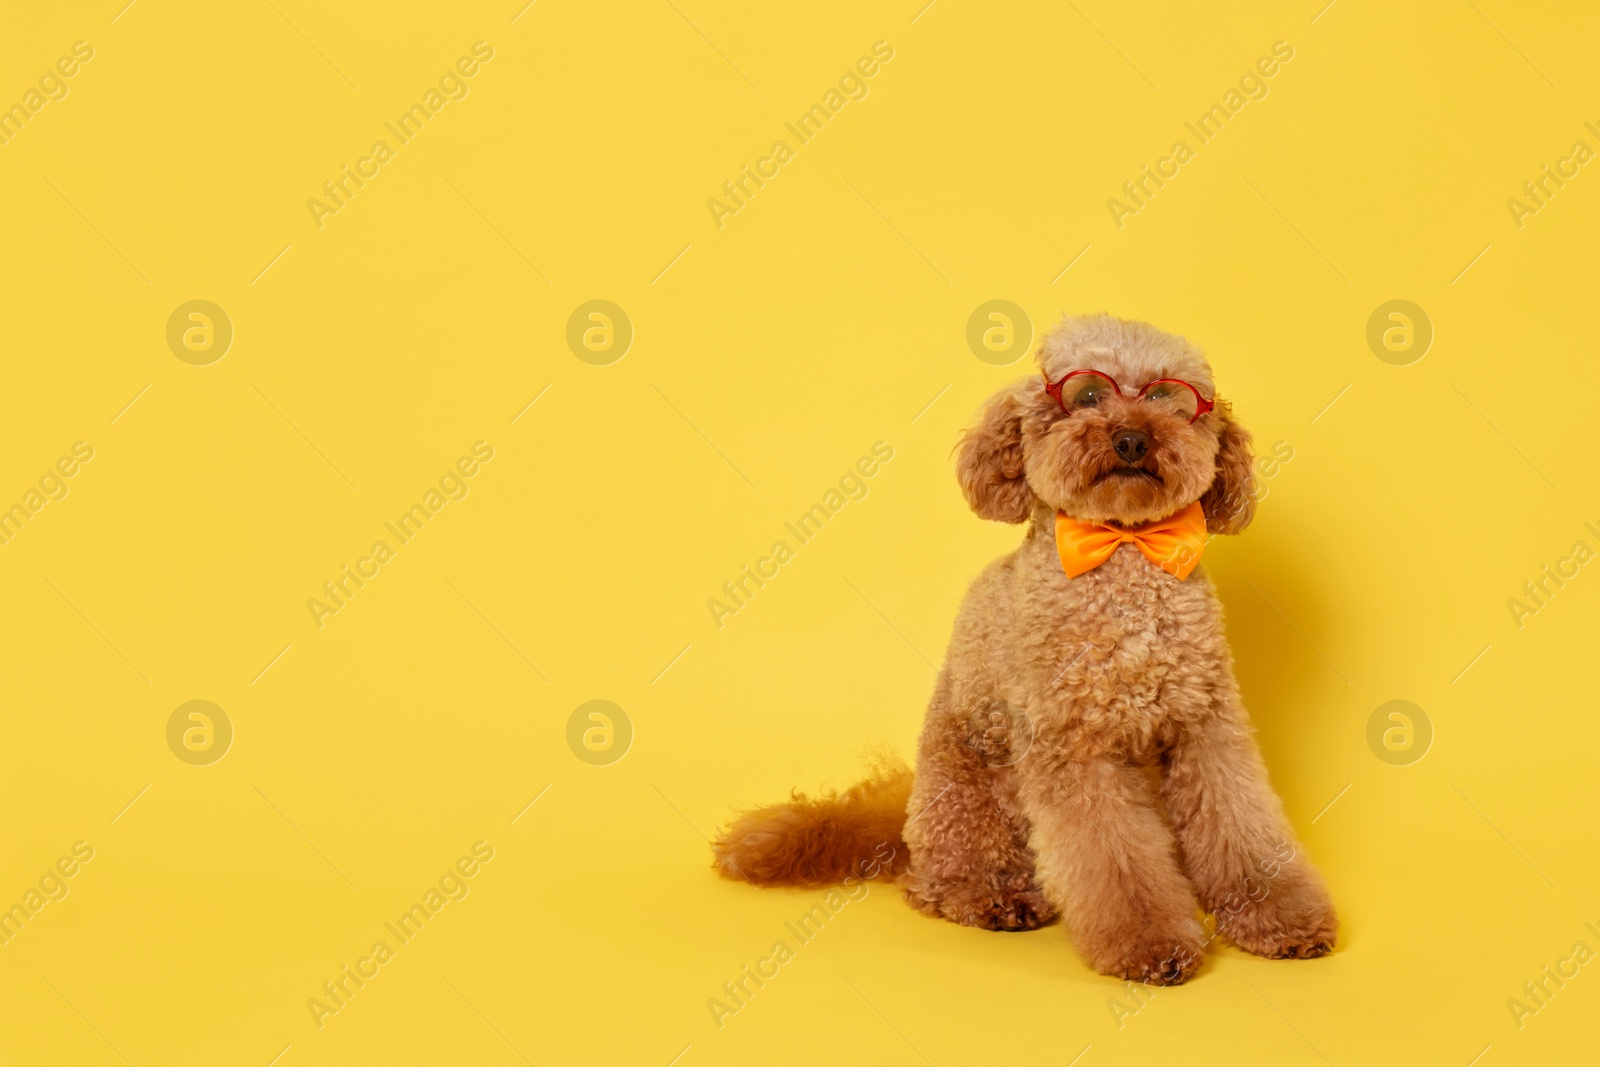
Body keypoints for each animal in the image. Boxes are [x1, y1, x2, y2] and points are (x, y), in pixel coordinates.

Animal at [716, 310, 1337, 985]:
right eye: (1087, 395)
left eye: (1165, 397)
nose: (1131, 440)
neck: (1122, 556)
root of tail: (902, 830)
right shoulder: (1073, 746)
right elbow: (1115, 862)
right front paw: (1150, 945)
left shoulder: (1206, 728)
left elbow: (1242, 828)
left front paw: (1283, 921)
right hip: (966, 798)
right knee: (937, 884)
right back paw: (994, 897)